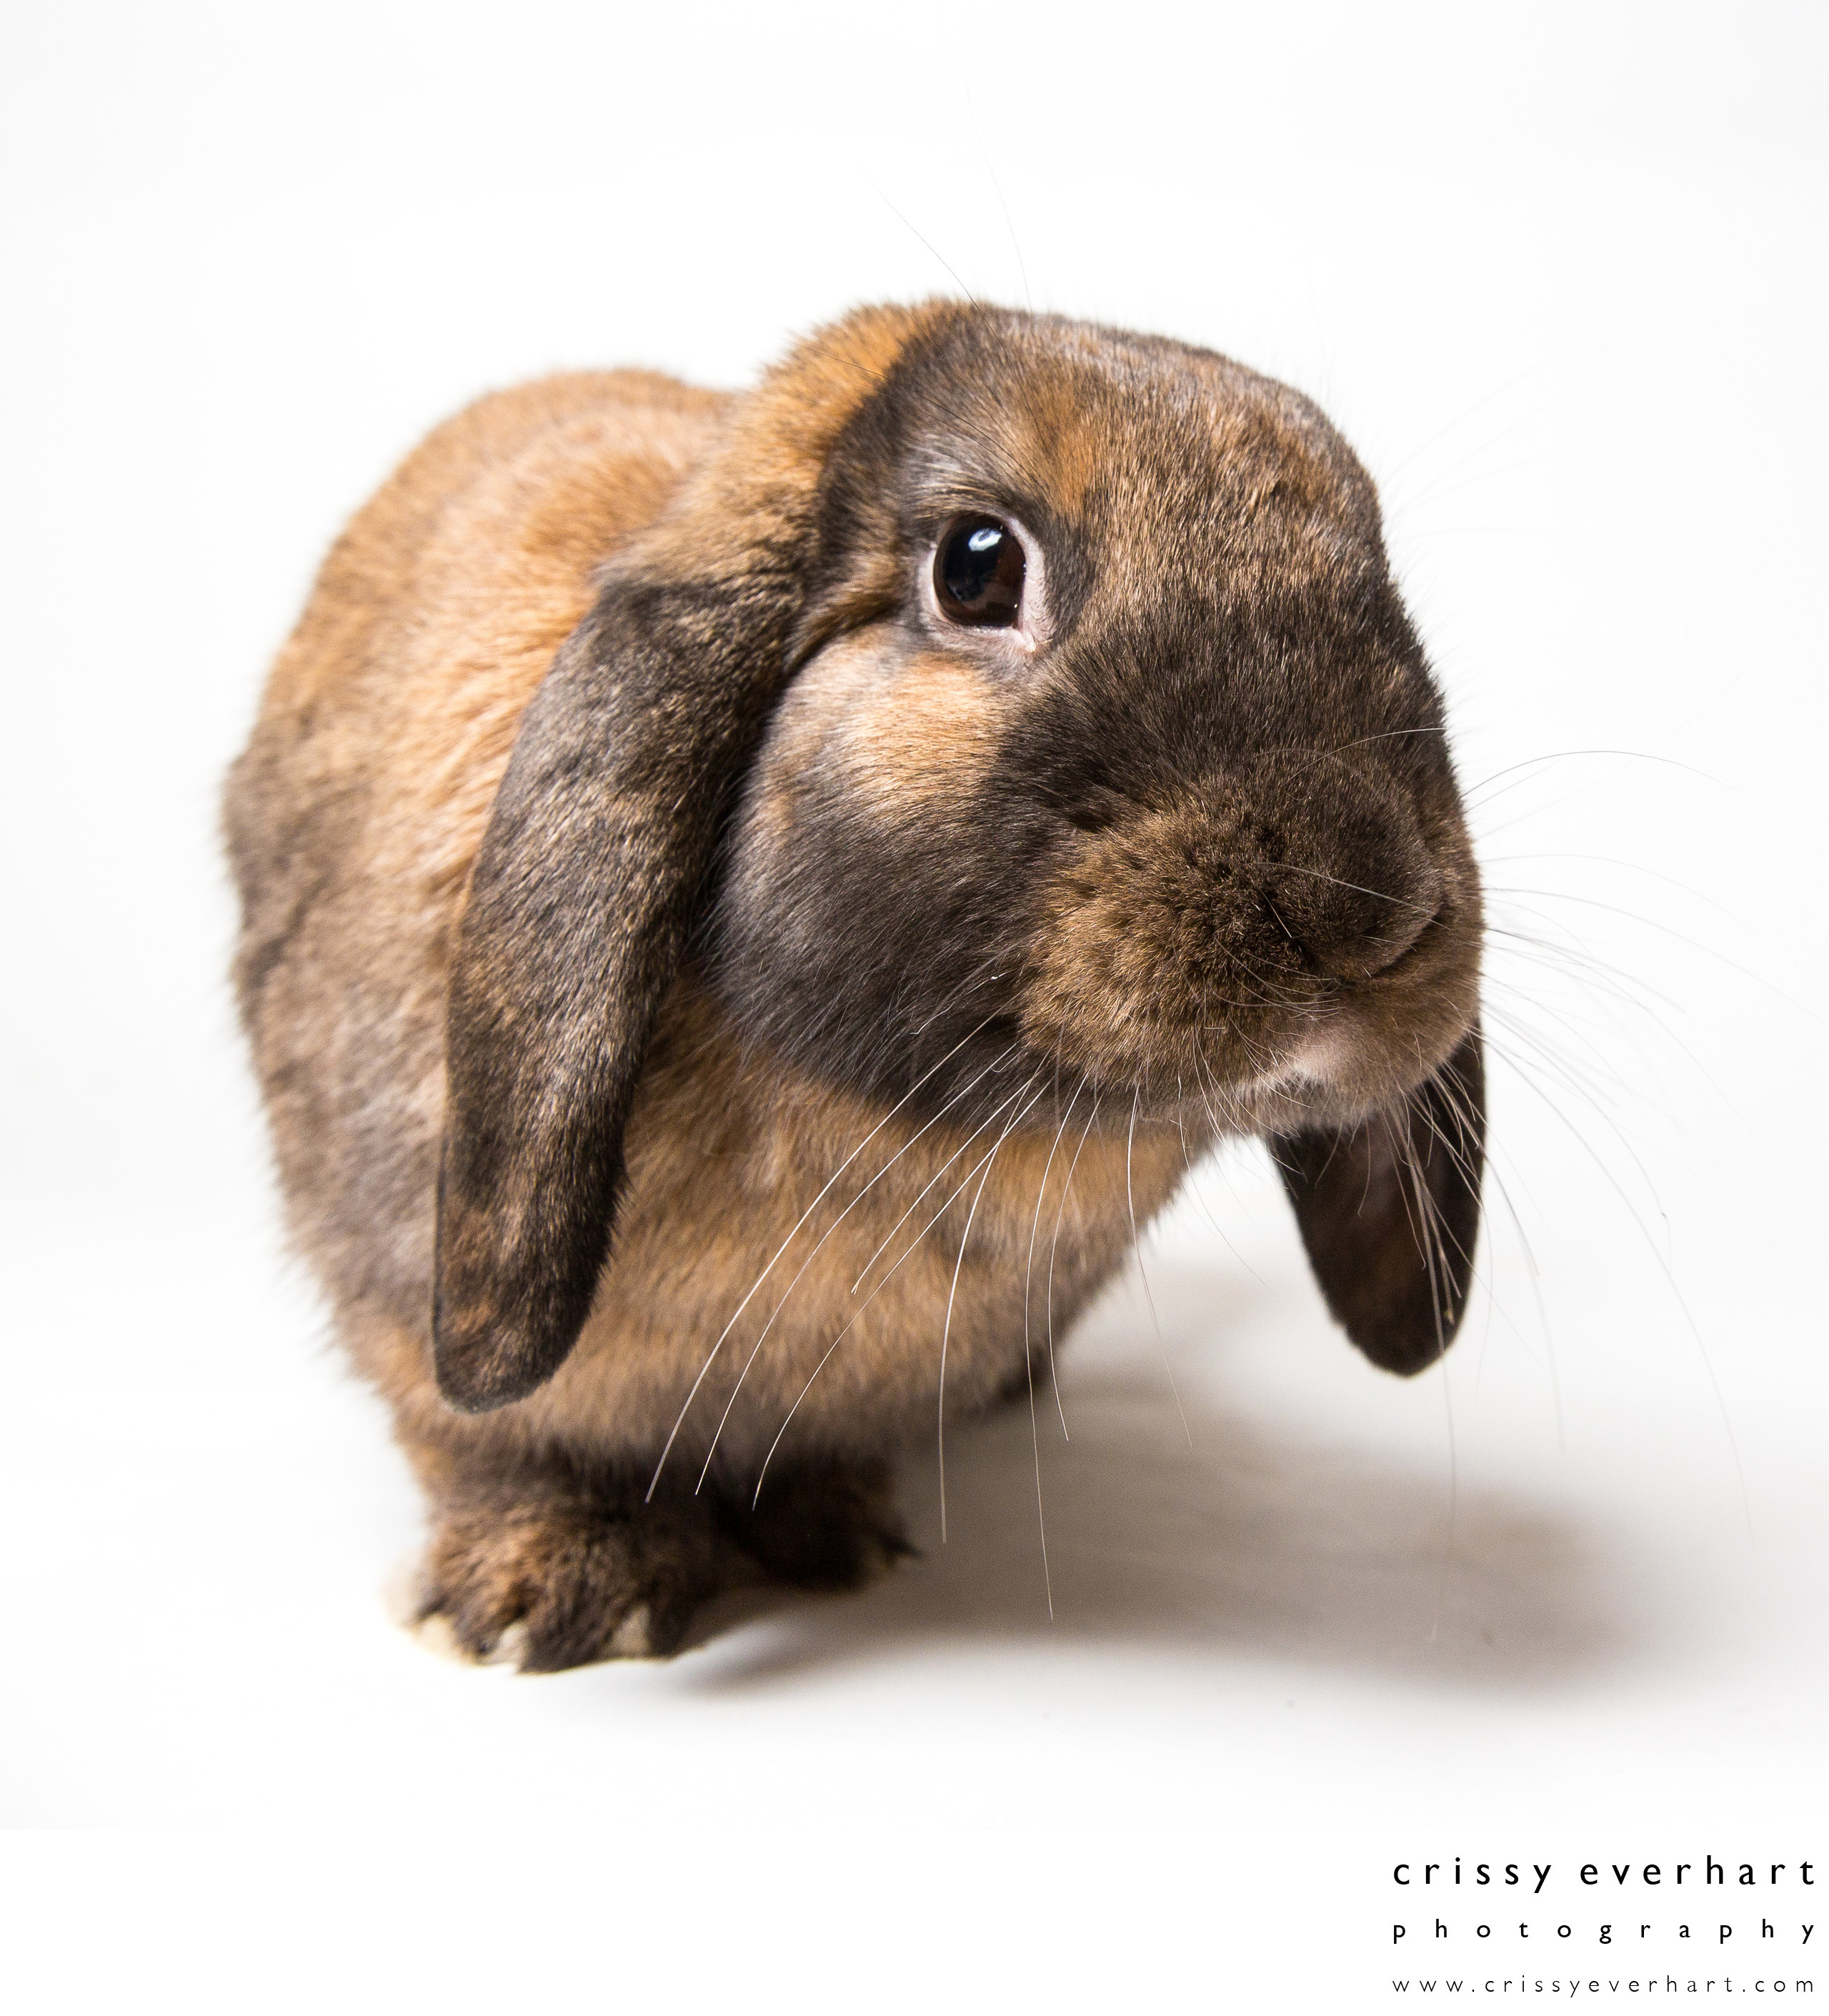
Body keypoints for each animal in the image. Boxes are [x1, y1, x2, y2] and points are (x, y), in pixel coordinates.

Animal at [224, 303, 1486, 1672]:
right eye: (976, 568)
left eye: (1378, 574)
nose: (1367, 900)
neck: (915, 1141)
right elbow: (495, 1442)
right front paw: (547, 1594)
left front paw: (831, 1535)